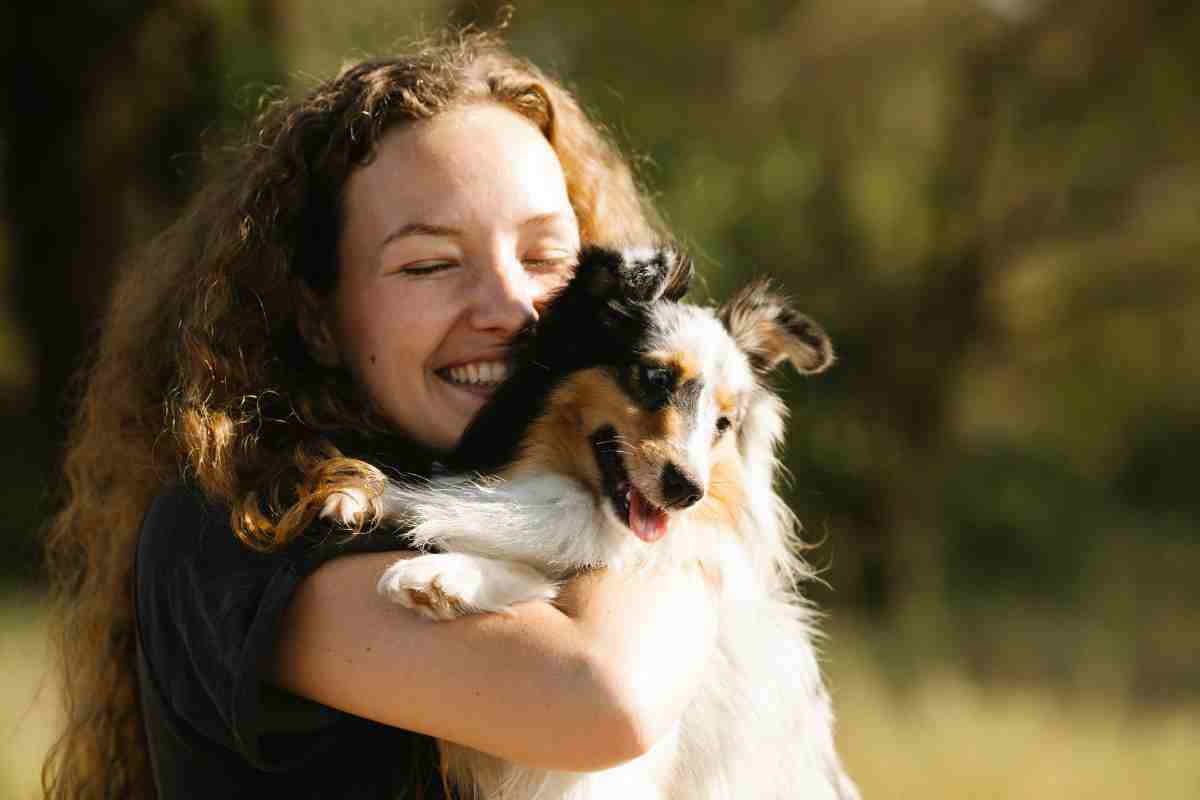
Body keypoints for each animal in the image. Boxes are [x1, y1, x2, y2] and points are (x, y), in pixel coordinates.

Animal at [324, 247, 859, 800]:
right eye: (654, 378)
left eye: (723, 424)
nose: (688, 491)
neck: (583, 501)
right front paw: (365, 496)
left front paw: (441, 576)